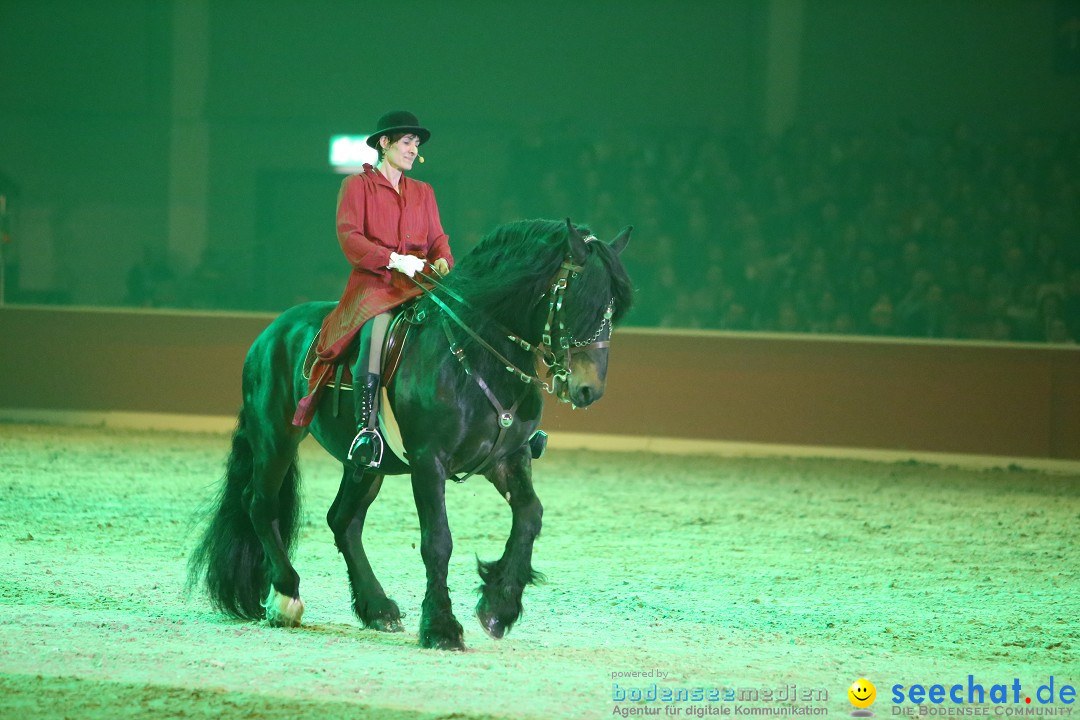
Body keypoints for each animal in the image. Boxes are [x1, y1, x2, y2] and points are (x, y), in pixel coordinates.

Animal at [187, 216, 630, 651]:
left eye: (612, 310)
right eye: (579, 299)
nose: (589, 389)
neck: (476, 355)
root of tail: (271, 332)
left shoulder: (507, 457)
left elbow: (530, 516)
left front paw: (498, 606)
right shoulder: (428, 460)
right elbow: (438, 540)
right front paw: (441, 628)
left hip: (366, 465)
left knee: (342, 520)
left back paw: (377, 607)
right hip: (276, 436)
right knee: (261, 505)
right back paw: (286, 595)